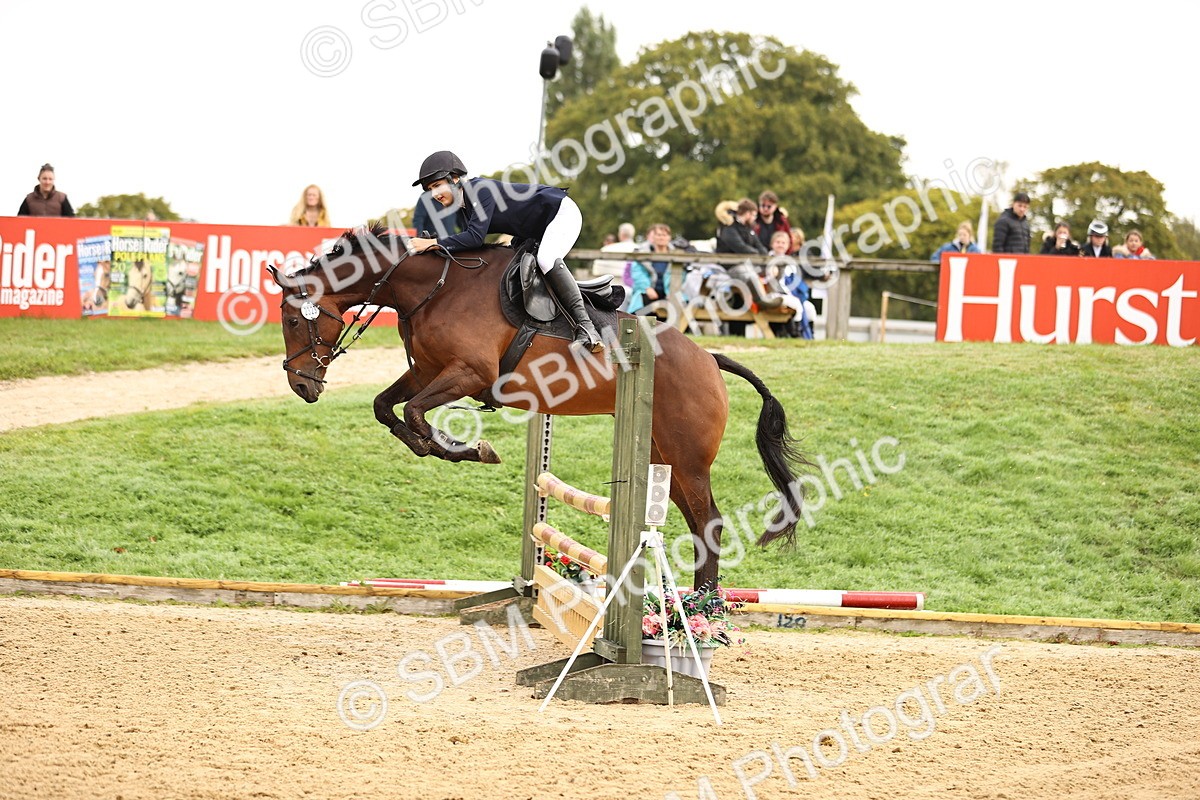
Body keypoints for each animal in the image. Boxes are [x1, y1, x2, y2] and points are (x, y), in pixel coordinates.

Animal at [265, 224, 808, 589]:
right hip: (661, 458)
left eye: (292, 321)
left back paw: (702, 612)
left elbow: (416, 414)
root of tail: (708, 358)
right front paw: (440, 447)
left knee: (710, 524)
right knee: (696, 524)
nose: (301, 385)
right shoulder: (427, 372)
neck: (432, 289)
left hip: (689, 458)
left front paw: (469, 448)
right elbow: (386, 408)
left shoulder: (469, 374)